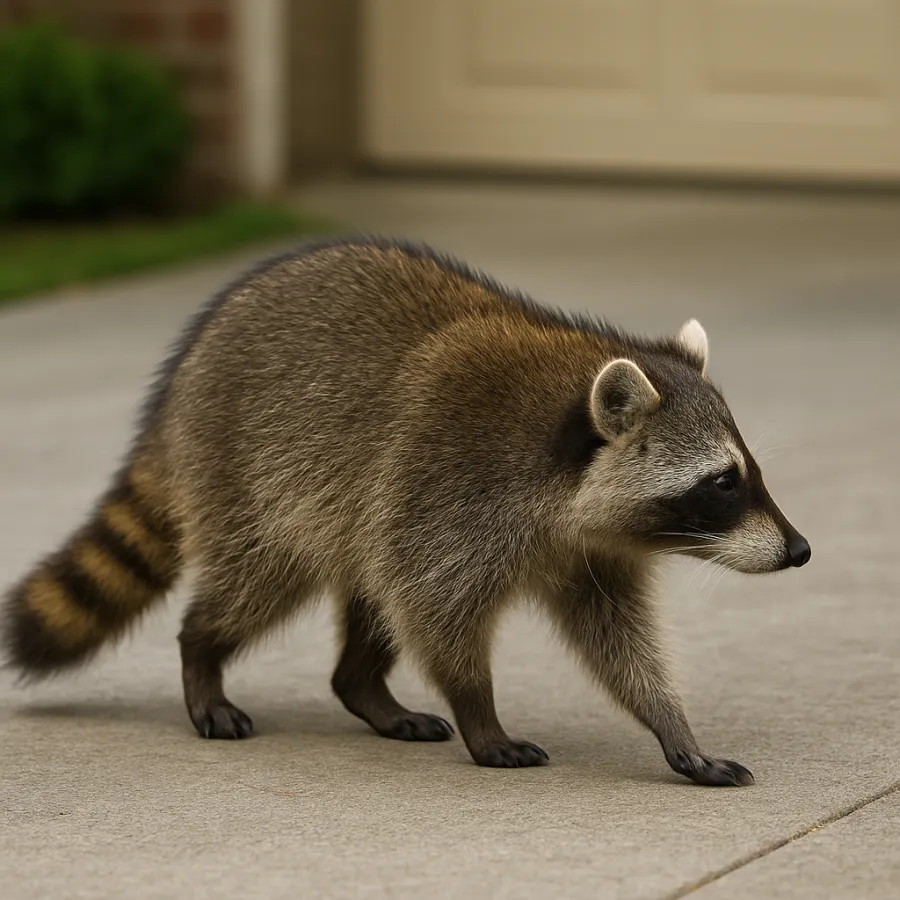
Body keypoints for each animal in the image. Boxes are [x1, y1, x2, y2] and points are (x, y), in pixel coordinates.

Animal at [2, 237, 810, 786]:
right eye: (724, 483)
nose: (800, 551)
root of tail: (181, 378)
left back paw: (362, 685)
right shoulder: (452, 488)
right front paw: (480, 712)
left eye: (749, 474)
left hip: (351, 503)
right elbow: (435, 608)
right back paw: (202, 653)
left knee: (371, 589)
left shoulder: (589, 552)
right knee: (259, 583)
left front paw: (670, 722)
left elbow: (616, 640)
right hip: (251, 478)